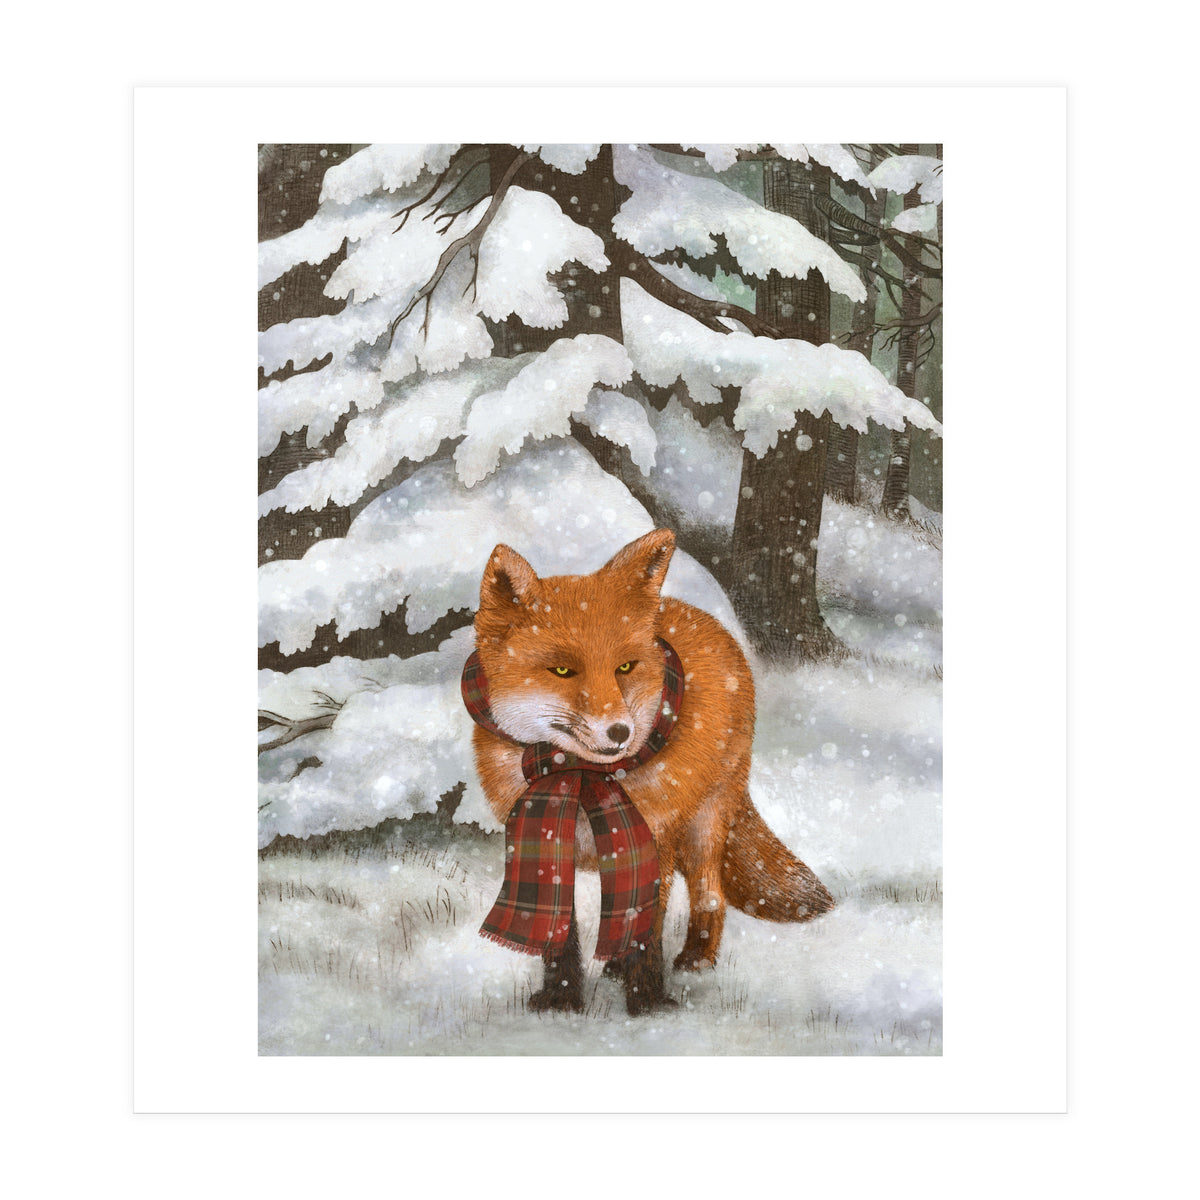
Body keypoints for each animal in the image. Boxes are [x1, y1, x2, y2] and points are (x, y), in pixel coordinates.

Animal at [469, 527, 834, 1015]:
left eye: (625, 667)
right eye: (562, 670)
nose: (620, 732)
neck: (580, 776)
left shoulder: (652, 839)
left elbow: (646, 931)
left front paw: (647, 1004)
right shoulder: (548, 840)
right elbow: (560, 932)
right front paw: (560, 1001)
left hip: (704, 825)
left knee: (710, 894)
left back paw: (695, 959)